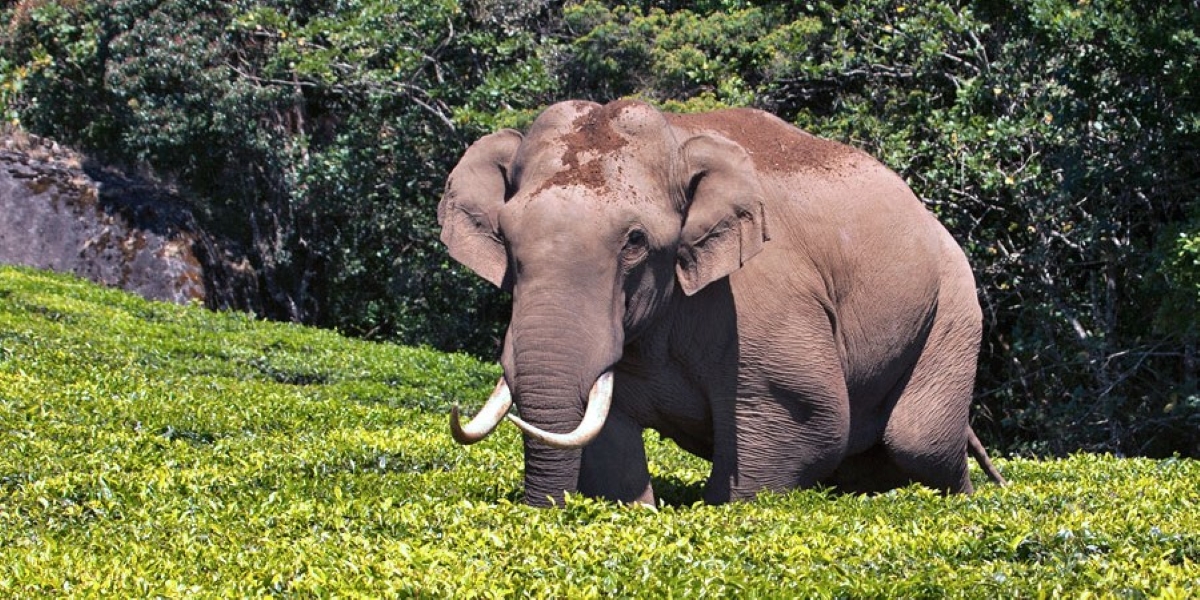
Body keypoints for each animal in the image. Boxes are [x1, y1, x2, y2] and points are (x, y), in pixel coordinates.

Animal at [438, 99, 1006, 507]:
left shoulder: (764, 299)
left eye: (636, 242)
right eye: (505, 237)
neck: (678, 135)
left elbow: (807, 418)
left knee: (917, 439)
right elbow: (608, 437)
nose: (541, 512)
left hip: (955, 305)